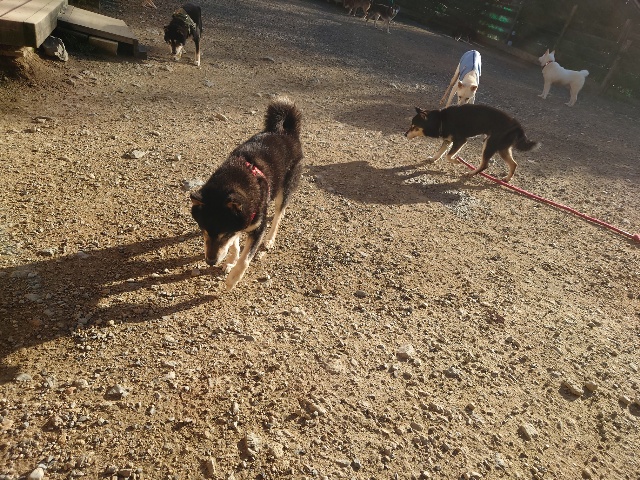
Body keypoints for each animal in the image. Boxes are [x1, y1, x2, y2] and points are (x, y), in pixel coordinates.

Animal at [190, 98, 303, 290]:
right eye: (203, 229)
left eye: (223, 234)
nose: (210, 262)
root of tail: (285, 131)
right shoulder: (238, 222)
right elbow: (235, 244)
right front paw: (230, 260)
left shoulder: (258, 227)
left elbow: (245, 259)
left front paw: (233, 278)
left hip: (285, 188)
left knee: (279, 214)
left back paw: (270, 239)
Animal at [405, 104, 539, 182]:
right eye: (411, 125)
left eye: (414, 127)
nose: (404, 134)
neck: (441, 120)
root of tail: (517, 126)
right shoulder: (447, 140)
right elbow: (441, 152)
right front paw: (433, 158)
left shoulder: (460, 140)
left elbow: (448, 155)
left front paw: (456, 161)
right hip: (502, 148)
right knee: (514, 164)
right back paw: (506, 178)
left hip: (489, 144)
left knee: (485, 165)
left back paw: (472, 173)